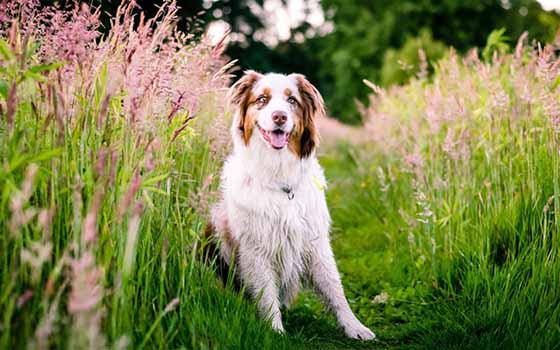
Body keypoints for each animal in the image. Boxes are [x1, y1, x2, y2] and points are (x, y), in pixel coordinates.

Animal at [208, 70, 374, 340]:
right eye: (262, 99)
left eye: (292, 100)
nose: (280, 116)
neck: (279, 177)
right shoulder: (255, 247)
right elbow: (266, 293)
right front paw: (274, 331)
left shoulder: (315, 241)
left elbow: (334, 287)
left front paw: (354, 326)